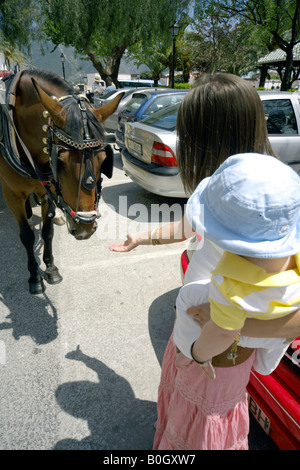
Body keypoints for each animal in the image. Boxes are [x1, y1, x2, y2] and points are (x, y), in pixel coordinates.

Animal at [0, 69, 124, 294]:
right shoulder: (11, 193)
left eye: (103, 159)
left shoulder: (49, 187)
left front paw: (50, 268)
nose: (85, 230)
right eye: (61, 162)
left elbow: (47, 231)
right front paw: (35, 277)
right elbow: (27, 236)